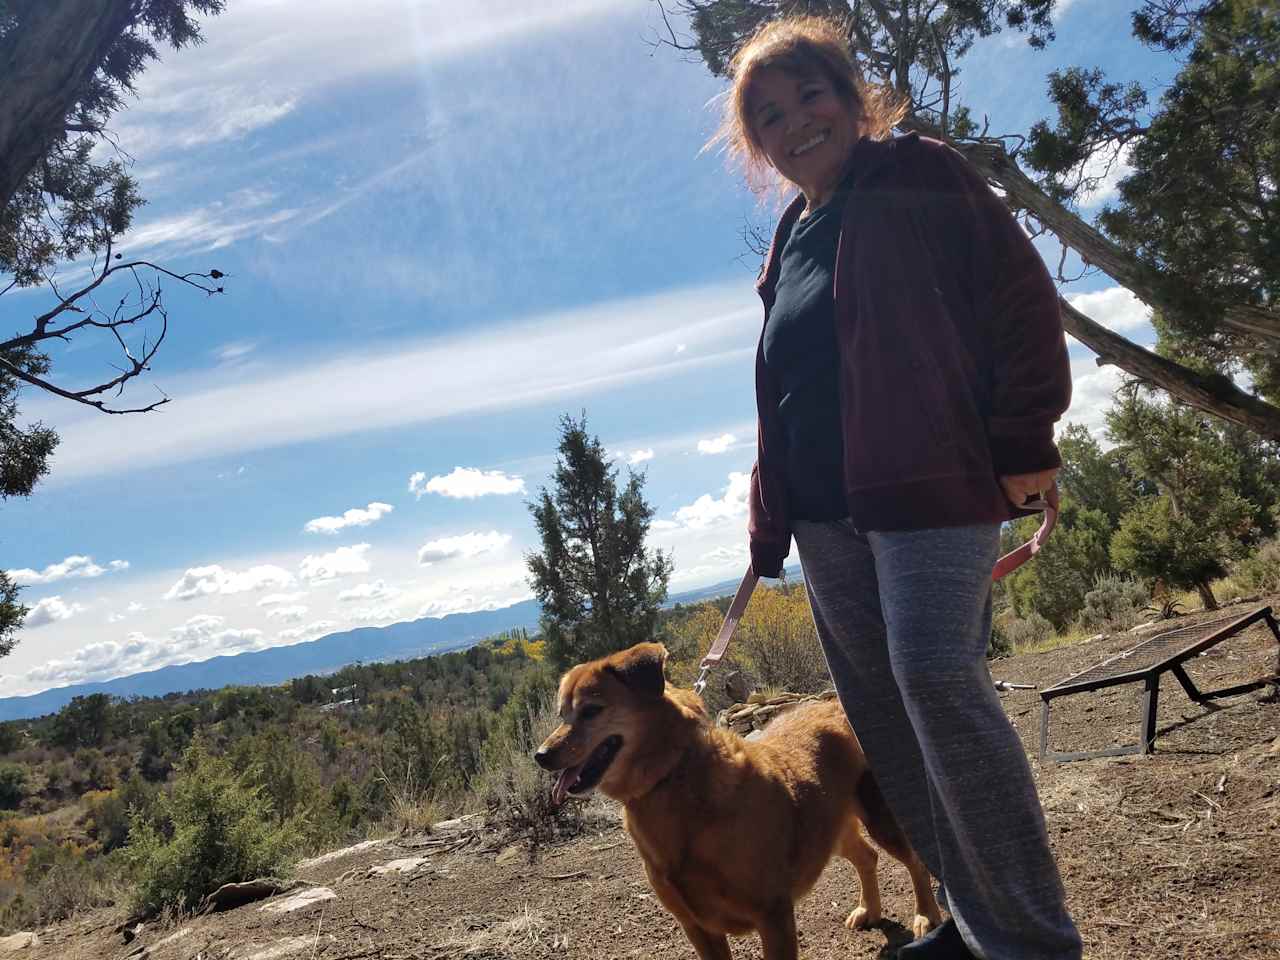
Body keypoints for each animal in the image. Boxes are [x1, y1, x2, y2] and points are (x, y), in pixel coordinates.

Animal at [532, 642, 942, 960]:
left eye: (591, 710)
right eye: (562, 713)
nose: (541, 755)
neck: (674, 778)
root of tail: (833, 705)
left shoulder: (773, 916)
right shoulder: (697, 927)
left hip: (879, 814)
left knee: (914, 859)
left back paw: (927, 916)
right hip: (829, 828)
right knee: (866, 856)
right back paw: (869, 910)